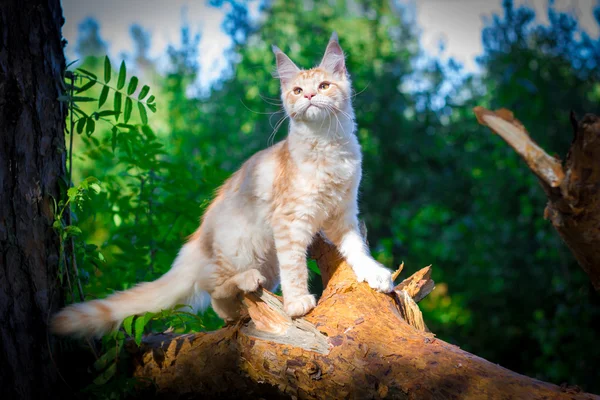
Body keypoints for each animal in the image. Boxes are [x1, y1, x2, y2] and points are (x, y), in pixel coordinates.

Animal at [52, 32, 394, 338]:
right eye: (297, 90)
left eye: (323, 86)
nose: (309, 97)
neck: (326, 147)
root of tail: (196, 242)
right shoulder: (289, 221)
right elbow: (296, 266)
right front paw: (298, 301)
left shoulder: (343, 213)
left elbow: (356, 247)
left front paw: (374, 272)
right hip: (240, 246)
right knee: (212, 288)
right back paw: (246, 281)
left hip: (268, 263)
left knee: (223, 304)